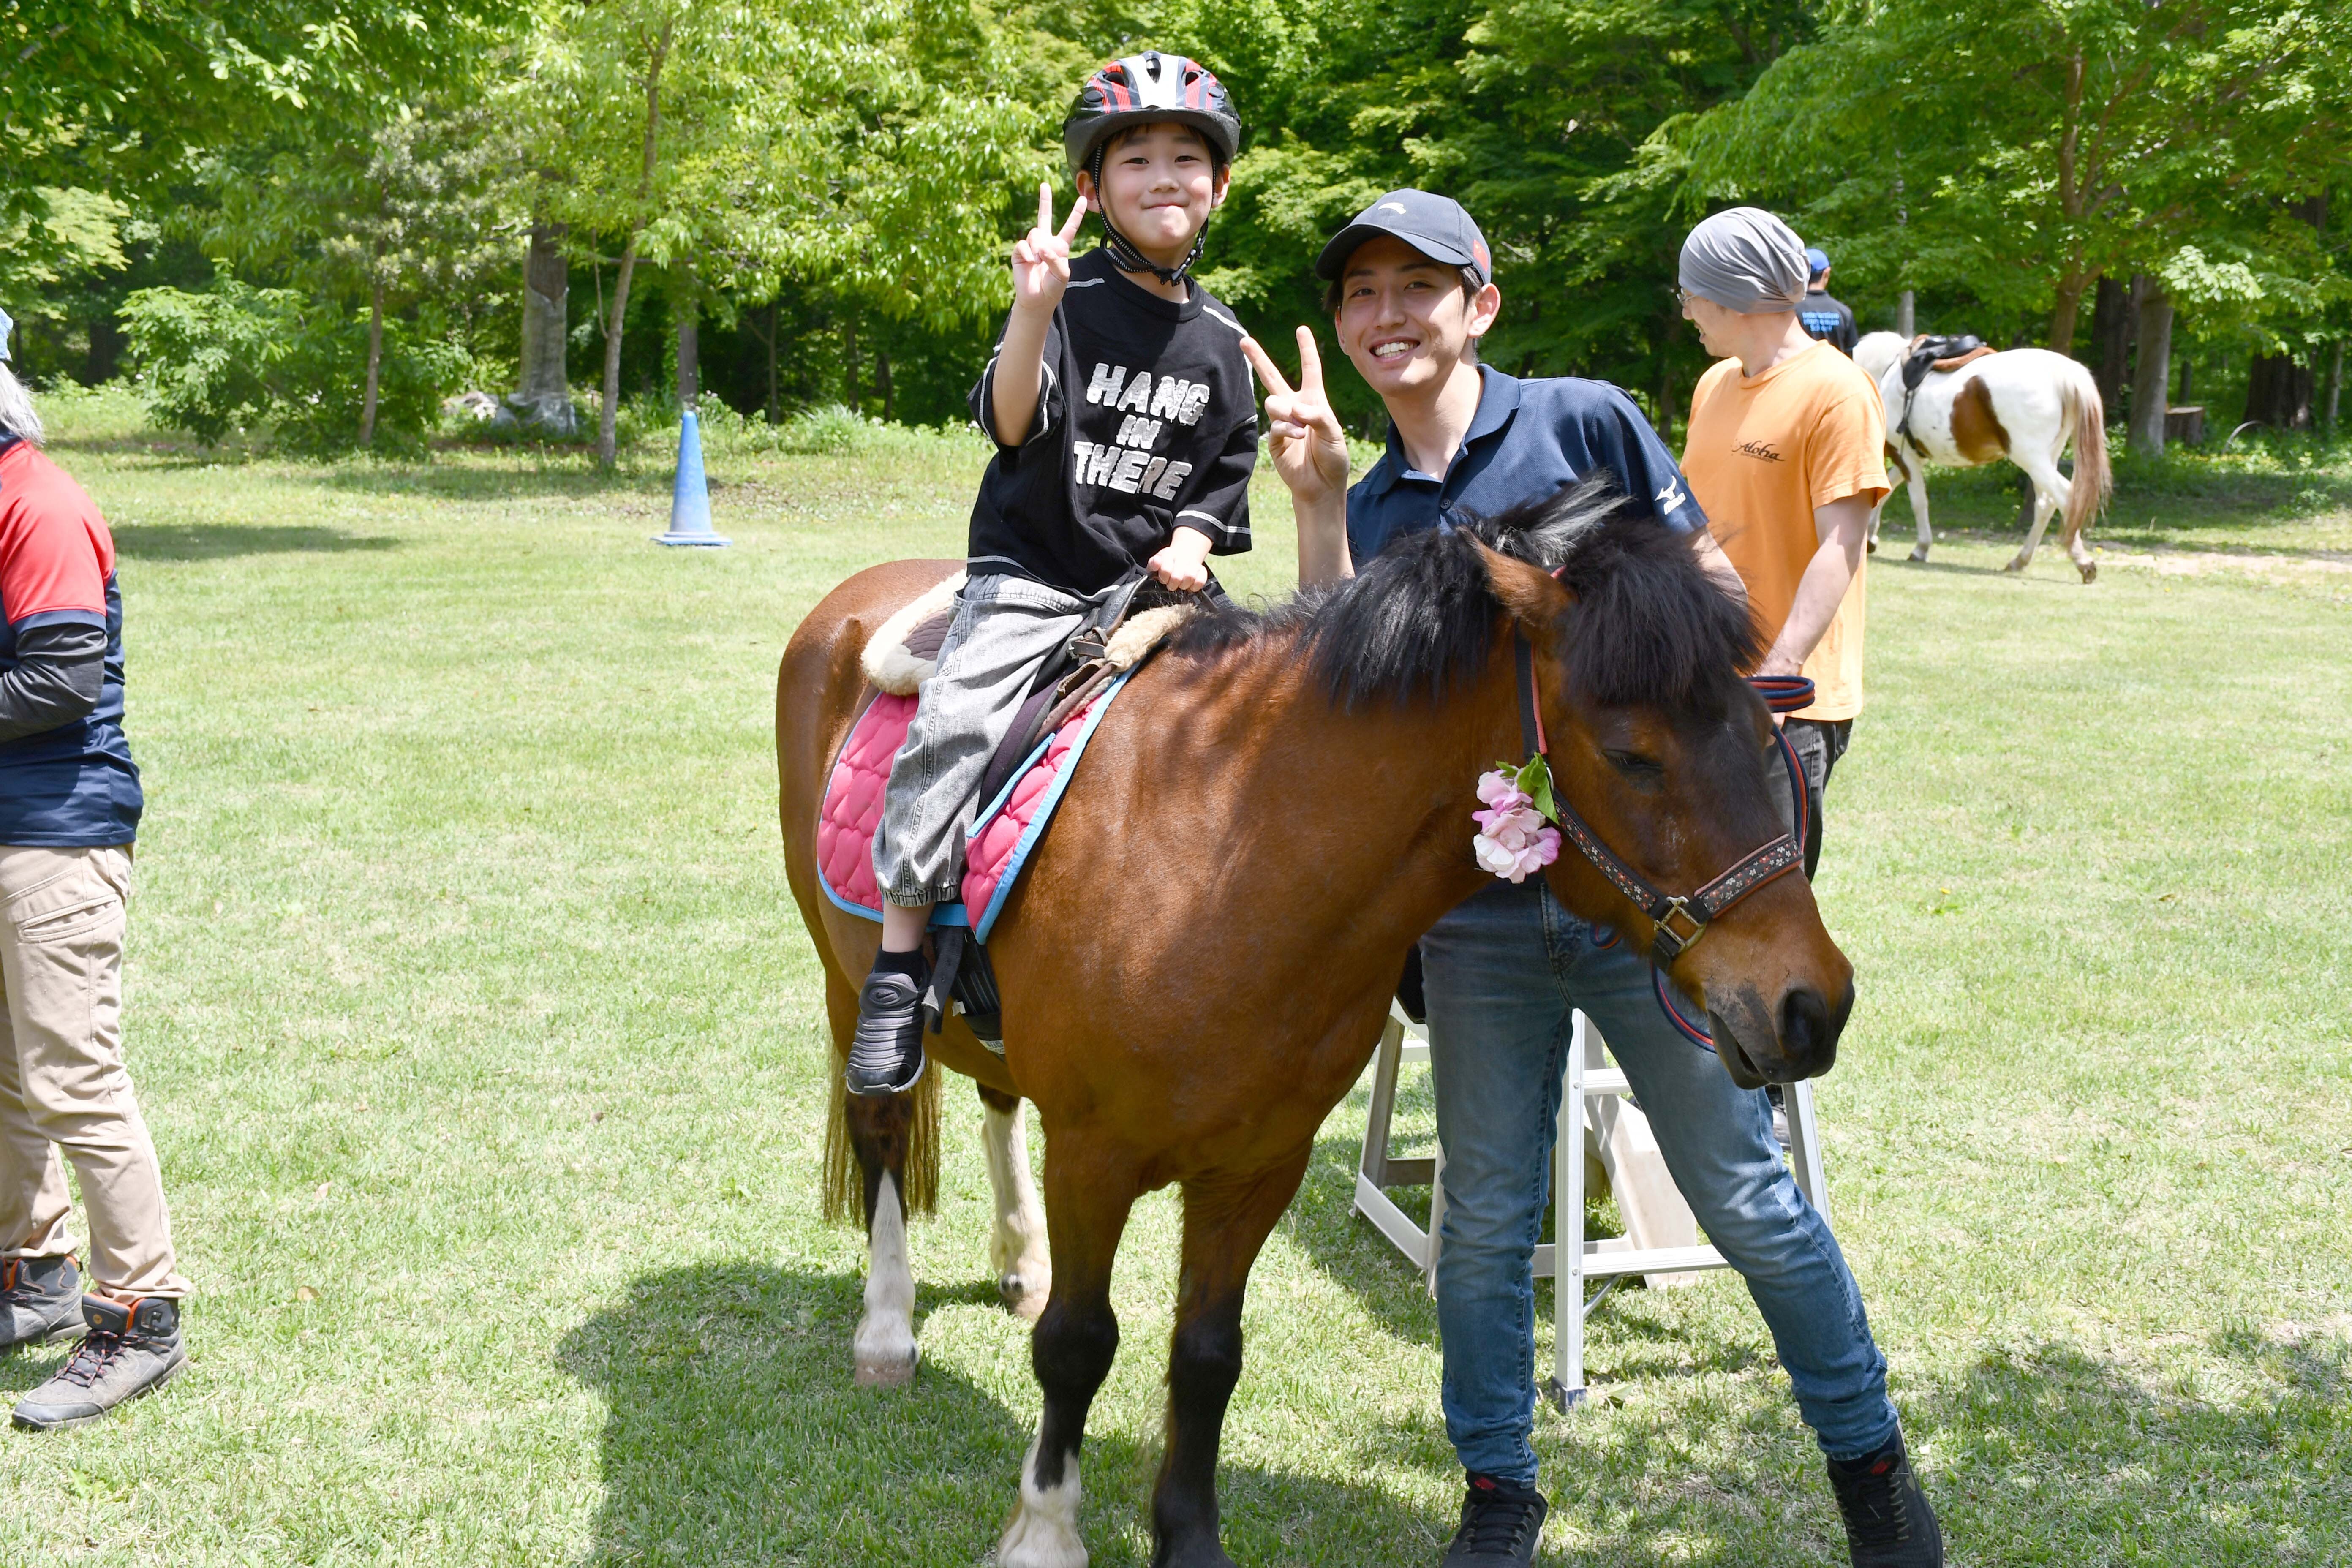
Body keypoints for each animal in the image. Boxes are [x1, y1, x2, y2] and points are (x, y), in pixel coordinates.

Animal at [774, 483, 1855, 1568]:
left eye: (1760, 729)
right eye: (1635, 756)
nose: (1813, 1001)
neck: (1222, 850)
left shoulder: (1259, 1164)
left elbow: (1207, 1354)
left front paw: (1188, 1539)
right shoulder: (1092, 1154)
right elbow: (1078, 1345)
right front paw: (1045, 1531)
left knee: (998, 1098)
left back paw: (1019, 1261)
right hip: (844, 979)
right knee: (880, 1128)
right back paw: (886, 1330)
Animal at [1854, 330, 2112, 582]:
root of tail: (2062, 372)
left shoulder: (1905, 455)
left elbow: (1918, 502)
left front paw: (1921, 548)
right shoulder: (1910, 456)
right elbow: (1886, 491)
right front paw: (1870, 537)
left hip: (2031, 459)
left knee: (2067, 497)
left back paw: (2083, 562)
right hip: (2046, 459)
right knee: (2046, 505)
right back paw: (2020, 561)